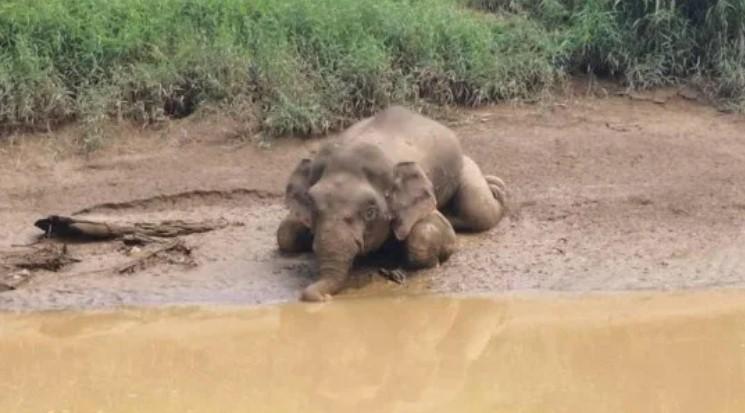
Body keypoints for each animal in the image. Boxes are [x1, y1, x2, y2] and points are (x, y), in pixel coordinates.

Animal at [276, 106, 507, 302]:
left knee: (479, 210)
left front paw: (433, 262)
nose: (325, 298)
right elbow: (285, 233)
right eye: (311, 205)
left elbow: (426, 234)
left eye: (370, 212)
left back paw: (498, 190)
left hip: (462, 167)